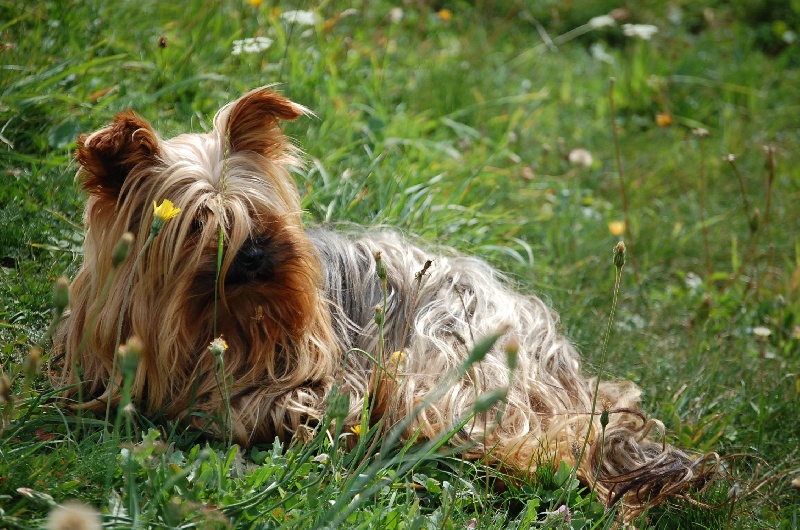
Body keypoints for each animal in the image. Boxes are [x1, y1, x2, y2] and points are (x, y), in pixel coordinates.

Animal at [53, 86, 716, 516]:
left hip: (445, 361)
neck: (226, 326)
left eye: (261, 213)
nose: (256, 255)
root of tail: (555, 352)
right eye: (198, 224)